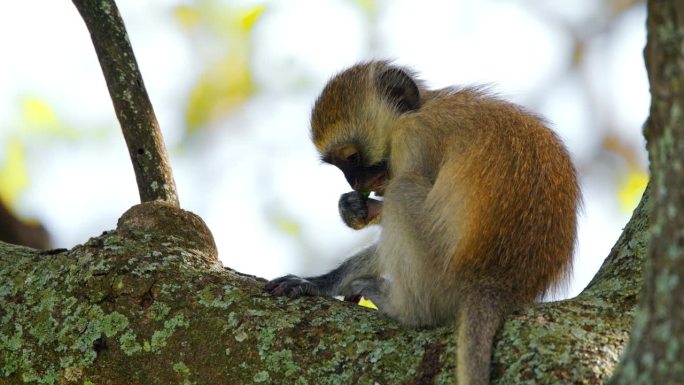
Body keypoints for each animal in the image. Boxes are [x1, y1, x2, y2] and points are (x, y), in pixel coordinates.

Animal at [264, 60, 580, 384]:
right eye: (340, 166)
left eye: (351, 157)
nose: (355, 182)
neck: (422, 109)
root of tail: (496, 285)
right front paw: (351, 215)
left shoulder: (413, 139)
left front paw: (326, 280)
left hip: (442, 278)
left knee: (403, 193)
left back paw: (409, 311)